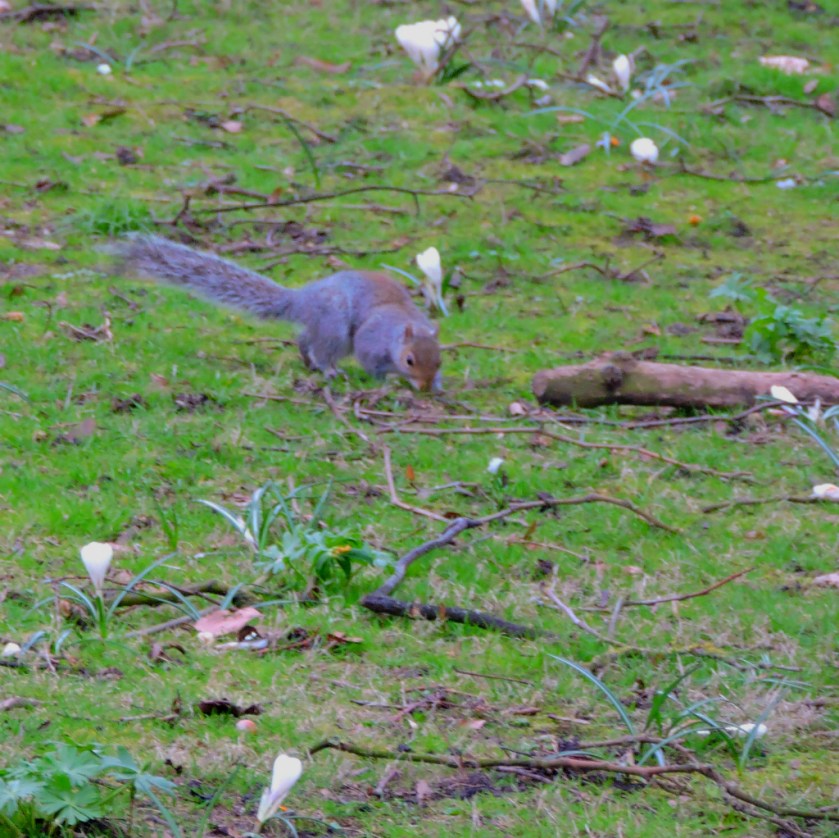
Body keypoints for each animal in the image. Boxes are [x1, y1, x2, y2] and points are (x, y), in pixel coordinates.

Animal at [116, 235, 442, 391]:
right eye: (409, 360)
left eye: (439, 361)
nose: (425, 386)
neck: (400, 328)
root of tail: (302, 300)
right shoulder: (371, 341)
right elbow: (372, 364)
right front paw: (385, 382)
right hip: (335, 327)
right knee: (323, 349)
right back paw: (328, 369)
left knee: (305, 339)